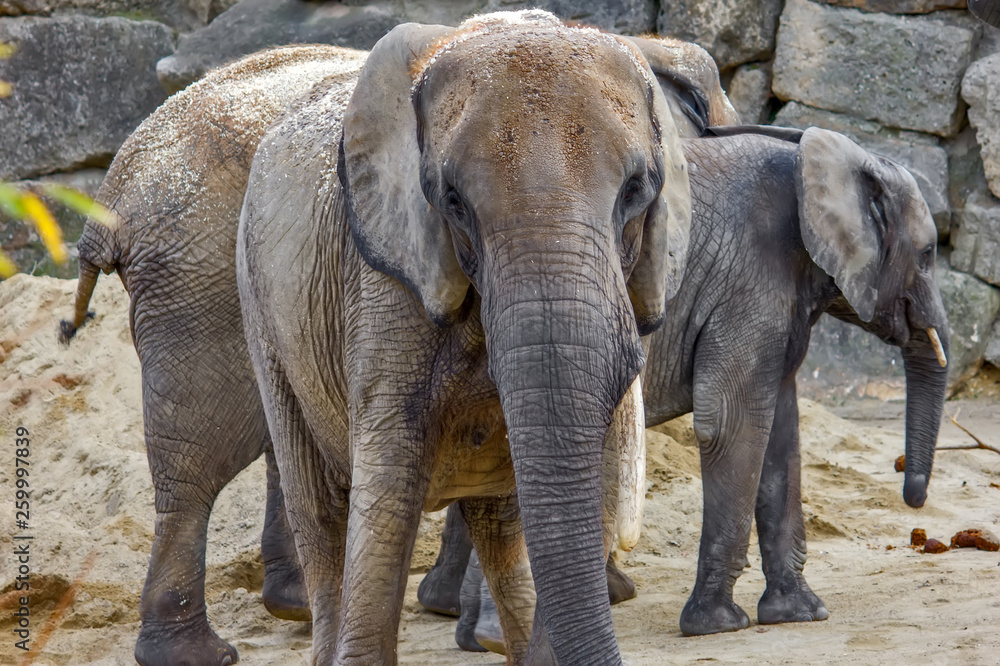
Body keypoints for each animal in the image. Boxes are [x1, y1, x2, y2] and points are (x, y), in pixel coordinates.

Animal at [236, 10, 697, 664]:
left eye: (636, 189)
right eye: (452, 200)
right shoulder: (384, 282)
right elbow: (389, 484)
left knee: (499, 527)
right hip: (261, 307)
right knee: (322, 512)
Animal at [425, 123, 951, 647]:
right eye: (928, 255)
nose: (914, 499)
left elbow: (781, 436)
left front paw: (801, 613)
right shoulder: (749, 283)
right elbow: (731, 425)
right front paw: (717, 625)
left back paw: (471, 627)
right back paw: (498, 632)